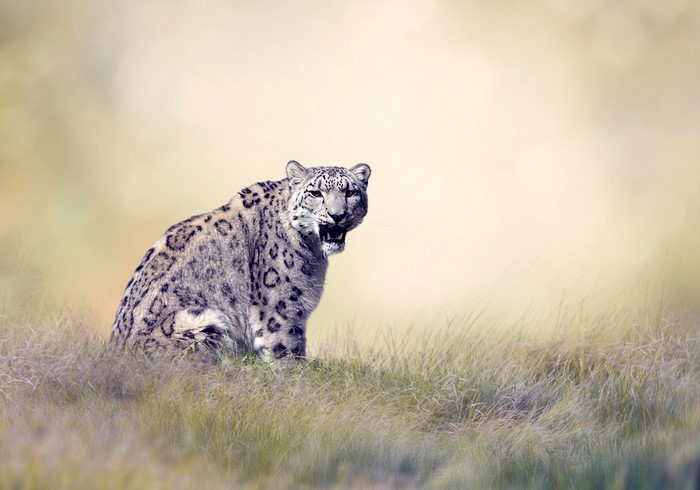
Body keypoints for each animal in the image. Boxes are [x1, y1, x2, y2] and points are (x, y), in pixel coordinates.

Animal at [109, 160, 371, 364]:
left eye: (350, 193)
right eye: (316, 193)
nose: (337, 215)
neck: (314, 252)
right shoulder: (281, 307)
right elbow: (286, 353)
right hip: (205, 321)